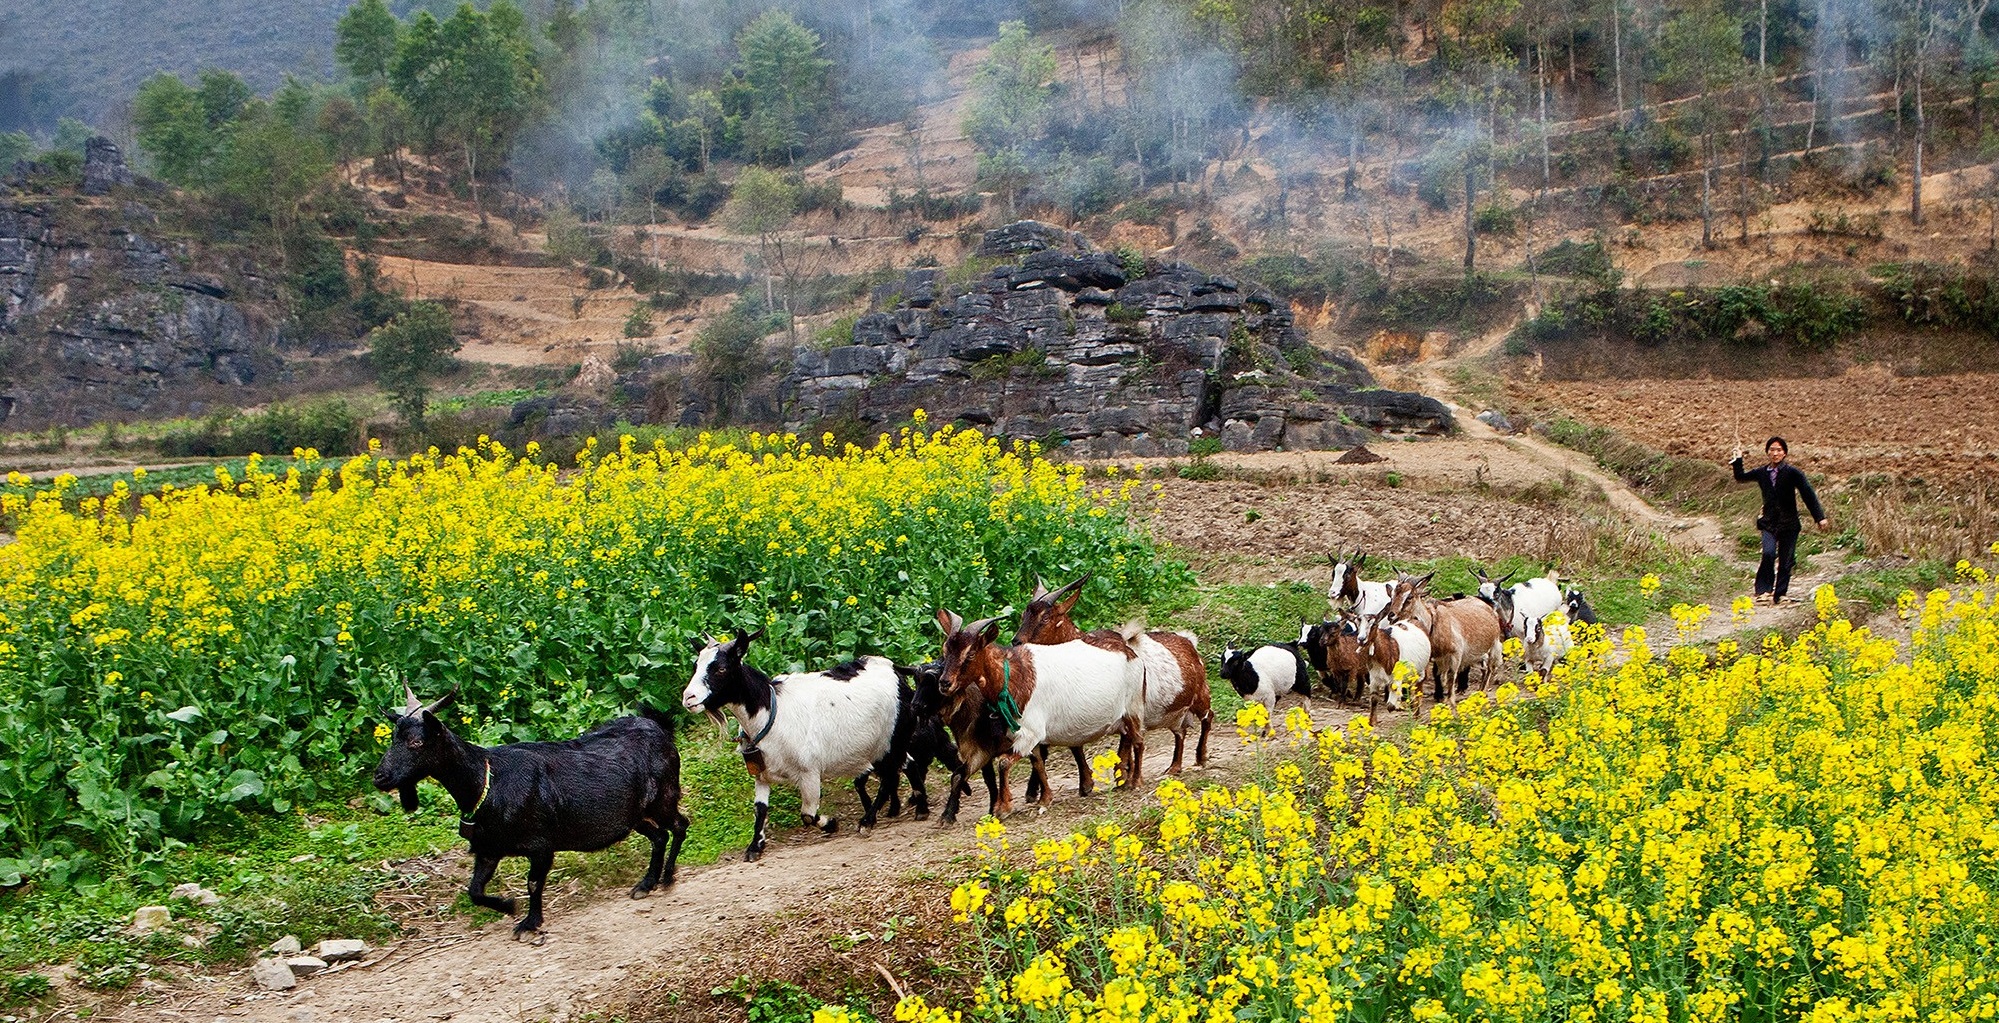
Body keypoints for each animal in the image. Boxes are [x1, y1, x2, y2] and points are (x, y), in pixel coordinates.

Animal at [373, 683, 687, 939]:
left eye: (417, 742)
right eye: (393, 739)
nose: (379, 777)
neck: (488, 781)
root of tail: (660, 727)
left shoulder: (541, 845)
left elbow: (533, 884)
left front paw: (529, 923)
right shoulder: (489, 848)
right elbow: (475, 891)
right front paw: (509, 906)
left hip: (663, 799)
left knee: (679, 825)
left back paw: (667, 878)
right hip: (634, 815)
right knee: (659, 836)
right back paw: (647, 883)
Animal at [687, 635, 907, 859]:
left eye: (721, 669)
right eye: (696, 665)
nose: (688, 698)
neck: (772, 712)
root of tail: (892, 668)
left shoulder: (809, 772)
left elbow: (807, 815)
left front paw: (831, 824)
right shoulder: (761, 774)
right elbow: (760, 810)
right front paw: (755, 845)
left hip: (890, 742)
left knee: (889, 778)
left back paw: (867, 822)